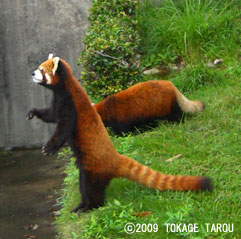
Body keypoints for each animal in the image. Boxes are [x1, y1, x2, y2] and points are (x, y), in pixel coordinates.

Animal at [26, 54, 213, 213]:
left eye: (41, 70)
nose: (33, 73)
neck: (64, 90)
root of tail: (115, 159)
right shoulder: (57, 105)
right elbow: (50, 115)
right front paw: (33, 112)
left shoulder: (71, 107)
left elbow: (64, 129)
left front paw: (50, 147)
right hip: (86, 168)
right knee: (83, 186)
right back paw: (80, 206)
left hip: (95, 170)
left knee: (91, 189)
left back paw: (90, 207)